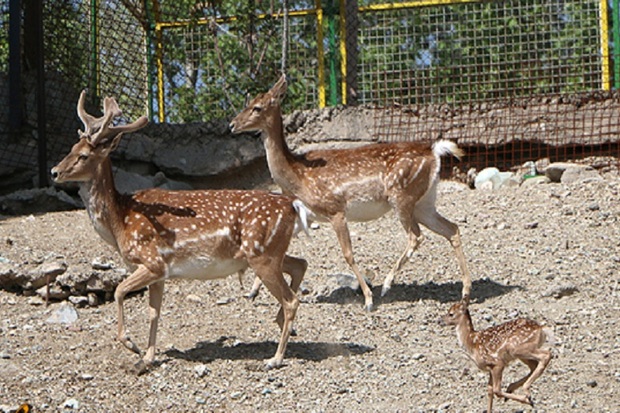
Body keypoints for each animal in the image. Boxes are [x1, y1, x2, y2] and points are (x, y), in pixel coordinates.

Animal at [51, 91, 310, 372]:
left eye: (84, 155)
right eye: (70, 149)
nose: (54, 172)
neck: (120, 222)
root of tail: (292, 204)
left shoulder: (153, 261)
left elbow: (120, 291)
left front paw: (131, 344)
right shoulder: (159, 273)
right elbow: (154, 312)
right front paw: (147, 358)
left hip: (262, 254)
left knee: (291, 299)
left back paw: (275, 358)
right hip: (269, 252)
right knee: (300, 264)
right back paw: (282, 327)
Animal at [230, 75, 472, 310]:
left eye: (257, 107)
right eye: (247, 104)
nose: (232, 124)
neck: (297, 176)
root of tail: (435, 151)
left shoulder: (335, 209)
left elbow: (348, 254)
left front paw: (368, 299)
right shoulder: (308, 215)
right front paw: (252, 291)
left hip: (402, 195)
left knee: (416, 236)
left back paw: (386, 285)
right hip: (424, 202)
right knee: (452, 229)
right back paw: (466, 291)